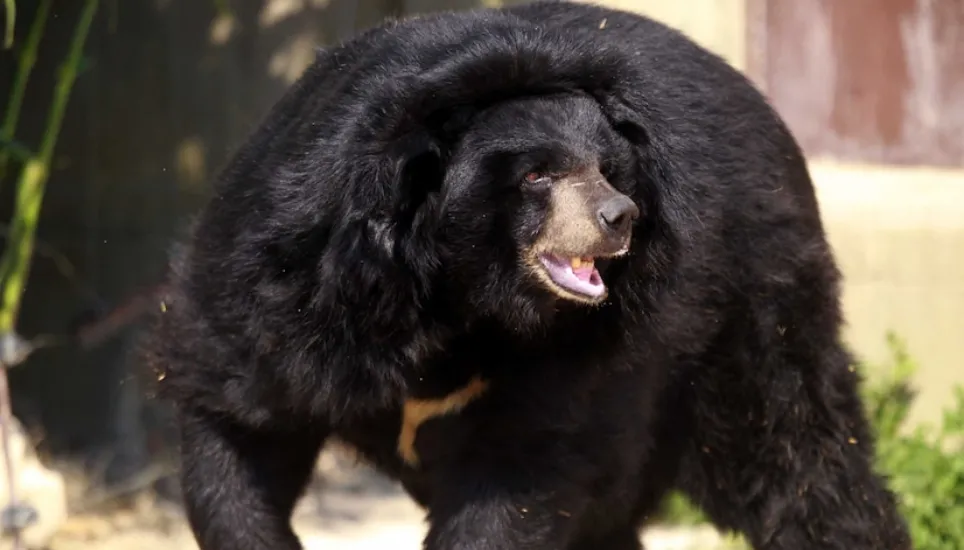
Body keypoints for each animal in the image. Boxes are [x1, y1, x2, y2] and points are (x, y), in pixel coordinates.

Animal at [141, 1, 912, 550]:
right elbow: (238, 425)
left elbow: (516, 480)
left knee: (794, 452)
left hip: (747, 307)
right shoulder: (284, 292)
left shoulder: (573, 363)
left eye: (608, 166)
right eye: (539, 174)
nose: (620, 216)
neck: (456, 298)